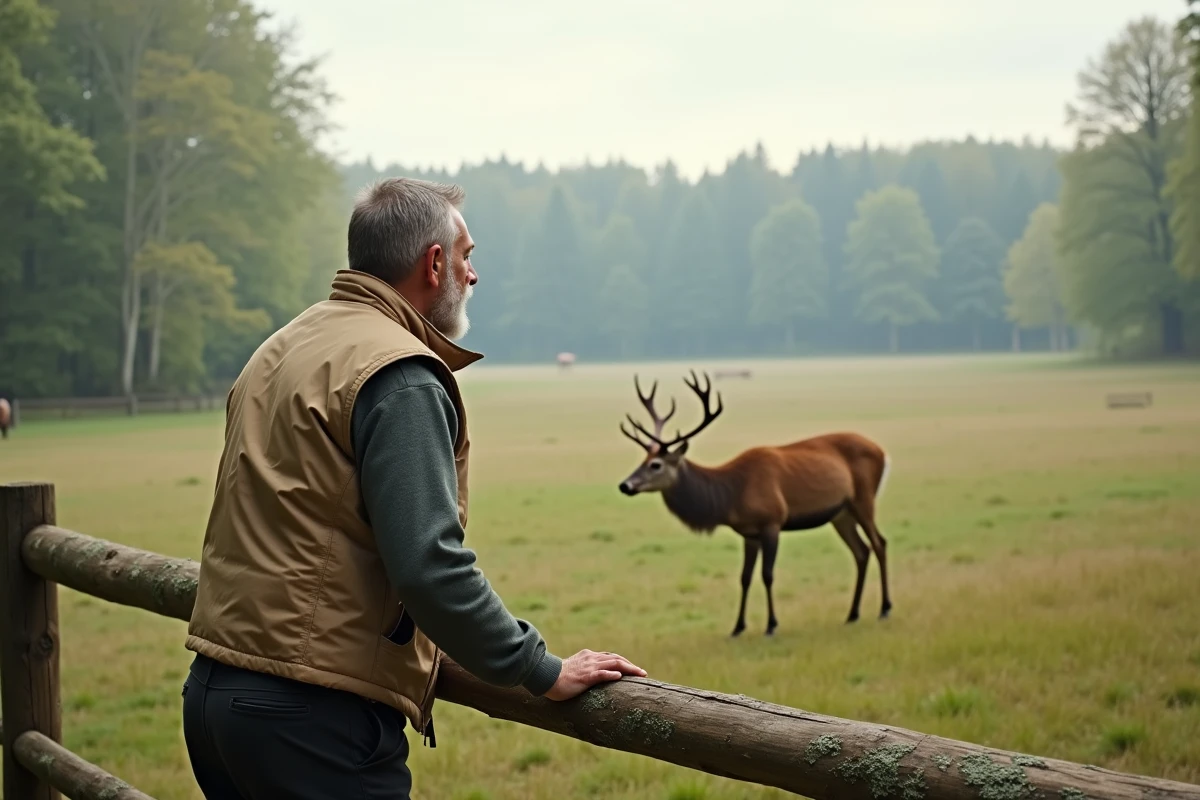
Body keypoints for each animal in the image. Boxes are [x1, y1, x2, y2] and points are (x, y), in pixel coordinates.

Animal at [617, 371, 893, 636]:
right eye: (643, 459)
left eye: (656, 464)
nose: (625, 485)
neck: (732, 496)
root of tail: (883, 452)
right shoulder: (749, 533)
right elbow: (745, 577)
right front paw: (737, 627)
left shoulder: (772, 521)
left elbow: (767, 575)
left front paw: (771, 625)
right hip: (841, 513)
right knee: (861, 551)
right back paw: (852, 614)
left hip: (863, 499)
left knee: (879, 543)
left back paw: (884, 609)